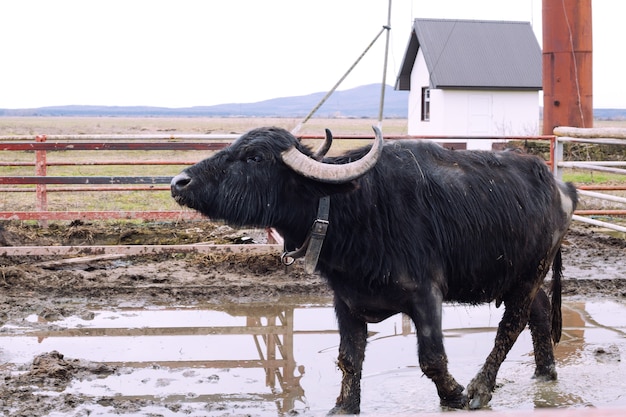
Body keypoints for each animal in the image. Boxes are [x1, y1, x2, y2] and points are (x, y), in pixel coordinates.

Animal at [169, 127, 576, 412]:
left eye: (254, 157)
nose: (178, 182)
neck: (351, 209)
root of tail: (561, 187)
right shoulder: (346, 302)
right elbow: (348, 359)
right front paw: (344, 406)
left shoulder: (426, 295)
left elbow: (432, 359)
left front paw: (455, 396)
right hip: (519, 275)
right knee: (539, 313)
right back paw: (545, 373)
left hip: (532, 271)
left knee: (511, 325)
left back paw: (480, 389)